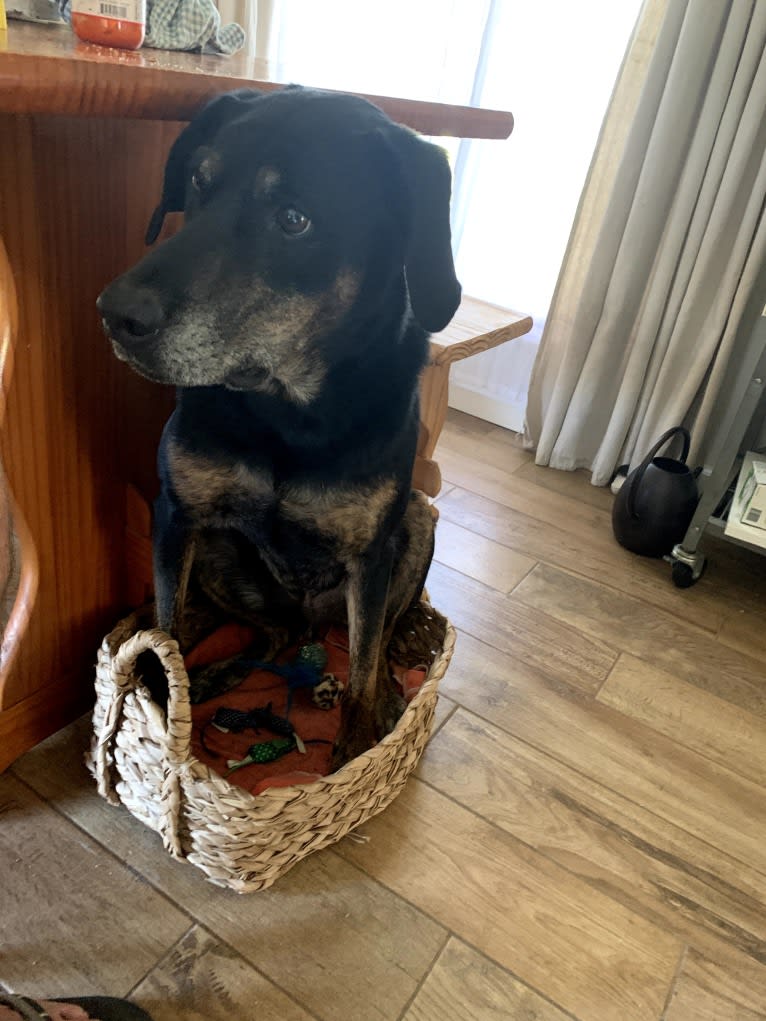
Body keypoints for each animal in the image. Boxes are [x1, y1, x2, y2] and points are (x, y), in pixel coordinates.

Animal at [100, 85, 461, 767]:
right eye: (198, 181)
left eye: (294, 219)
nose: (114, 313)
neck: (284, 408)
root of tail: (316, 620)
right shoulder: (177, 516)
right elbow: (165, 625)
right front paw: (166, 698)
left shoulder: (373, 555)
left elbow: (363, 665)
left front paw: (358, 747)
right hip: (221, 550)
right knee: (274, 631)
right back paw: (214, 674)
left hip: (417, 522)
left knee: (375, 636)